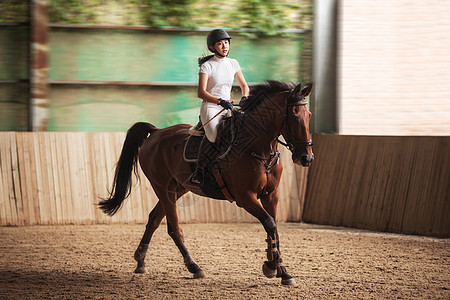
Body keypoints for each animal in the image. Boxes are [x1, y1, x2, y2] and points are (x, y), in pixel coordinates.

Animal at [99, 80, 312, 286]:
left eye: (309, 115)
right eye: (294, 116)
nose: (306, 158)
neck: (259, 149)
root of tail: (157, 132)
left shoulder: (271, 194)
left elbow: (274, 229)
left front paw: (281, 270)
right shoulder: (245, 197)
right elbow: (269, 223)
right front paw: (272, 266)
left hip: (178, 188)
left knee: (153, 219)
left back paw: (141, 260)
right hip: (163, 188)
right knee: (173, 228)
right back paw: (193, 266)